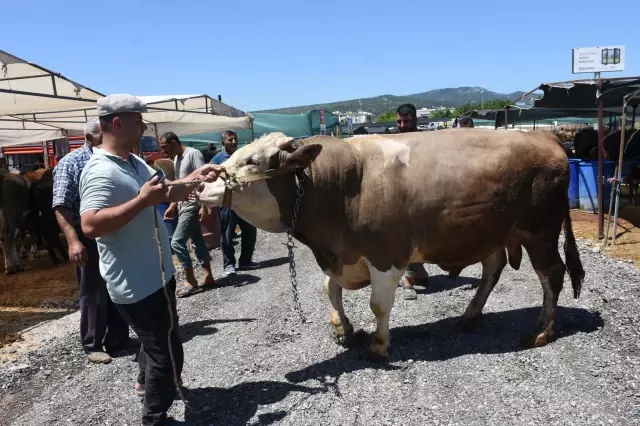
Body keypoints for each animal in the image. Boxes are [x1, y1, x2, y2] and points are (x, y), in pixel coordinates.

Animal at [198, 130, 588, 360]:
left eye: (252, 161)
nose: (203, 184)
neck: (339, 184)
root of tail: (546, 137)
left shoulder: (387, 254)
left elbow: (379, 304)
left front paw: (379, 344)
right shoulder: (342, 254)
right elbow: (329, 288)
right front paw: (343, 328)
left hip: (540, 232)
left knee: (552, 275)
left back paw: (541, 330)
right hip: (492, 230)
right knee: (493, 270)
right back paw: (469, 317)